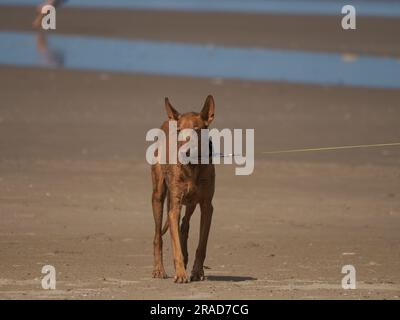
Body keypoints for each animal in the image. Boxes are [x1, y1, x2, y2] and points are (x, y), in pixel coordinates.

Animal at [151, 94, 216, 282]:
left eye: (197, 129)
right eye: (179, 131)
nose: (184, 152)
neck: (192, 167)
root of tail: (169, 119)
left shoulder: (207, 206)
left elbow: (202, 245)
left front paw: (197, 271)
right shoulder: (174, 206)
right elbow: (175, 247)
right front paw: (180, 273)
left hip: (191, 202)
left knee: (184, 225)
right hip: (158, 196)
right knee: (158, 237)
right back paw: (159, 269)